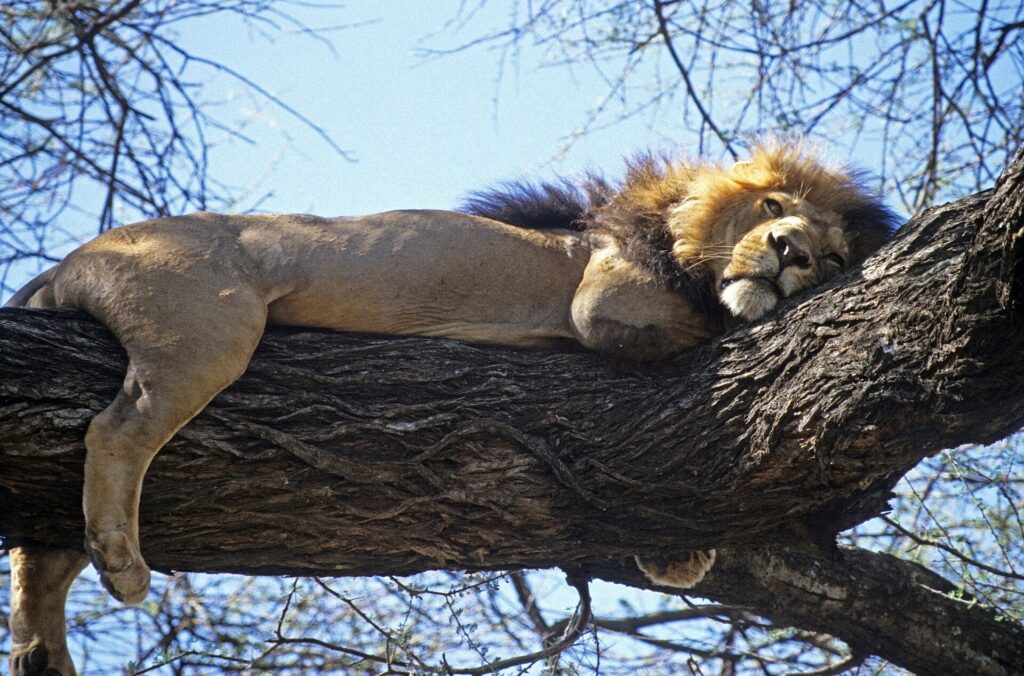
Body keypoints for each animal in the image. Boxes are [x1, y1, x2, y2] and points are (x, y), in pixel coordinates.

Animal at [4, 141, 895, 676]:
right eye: (772, 207)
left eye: (834, 254)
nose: (790, 251)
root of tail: (68, 260)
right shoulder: (602, 300)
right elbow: (705, 318)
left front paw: (680, 555)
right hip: (211, 322)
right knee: (116, 428)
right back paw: (122, 563)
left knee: (44, 550)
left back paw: (44, 651)